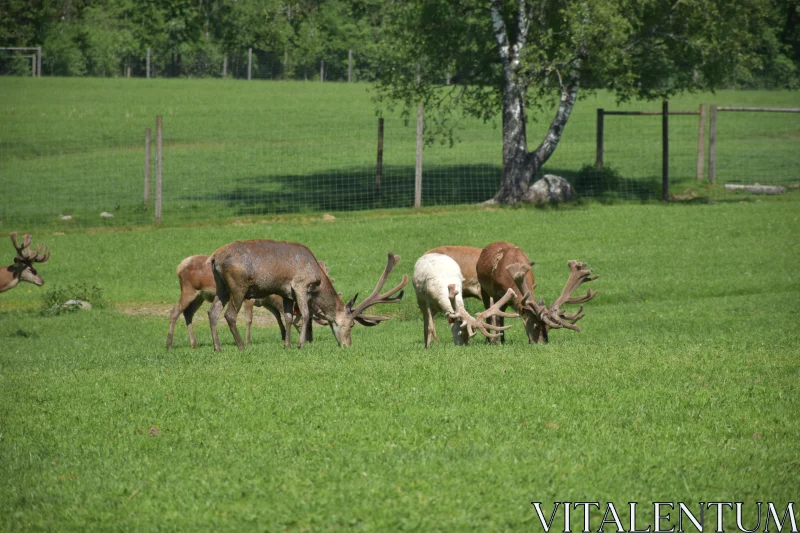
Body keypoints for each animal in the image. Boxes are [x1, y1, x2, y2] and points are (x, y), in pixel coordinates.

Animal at [166, 255, 332, 350]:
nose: (310, 339)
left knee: (188, 313)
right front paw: (248, 341)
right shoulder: (250, 299)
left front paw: (283, 335)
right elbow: (249, 320)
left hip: (199, 296)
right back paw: (169, 344)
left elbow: (278, 317)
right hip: (189, 290)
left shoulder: (265, 302)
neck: (272, 295)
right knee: (175, 311)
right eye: (306, 323)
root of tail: (179, 266)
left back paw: (194, 343)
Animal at [208, 240, 406, 350]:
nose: (347, 345)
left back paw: (218, 347)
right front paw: (300, 344)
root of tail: (214, 257)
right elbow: (305, 314)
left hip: (221, 287)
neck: (317, 279)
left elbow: (288, 317)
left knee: (212, 312)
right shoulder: (300, 285)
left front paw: (287, 345)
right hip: (238, 286)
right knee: (229, 315)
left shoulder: (286, 293)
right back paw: (241, 346)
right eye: (351, 325)